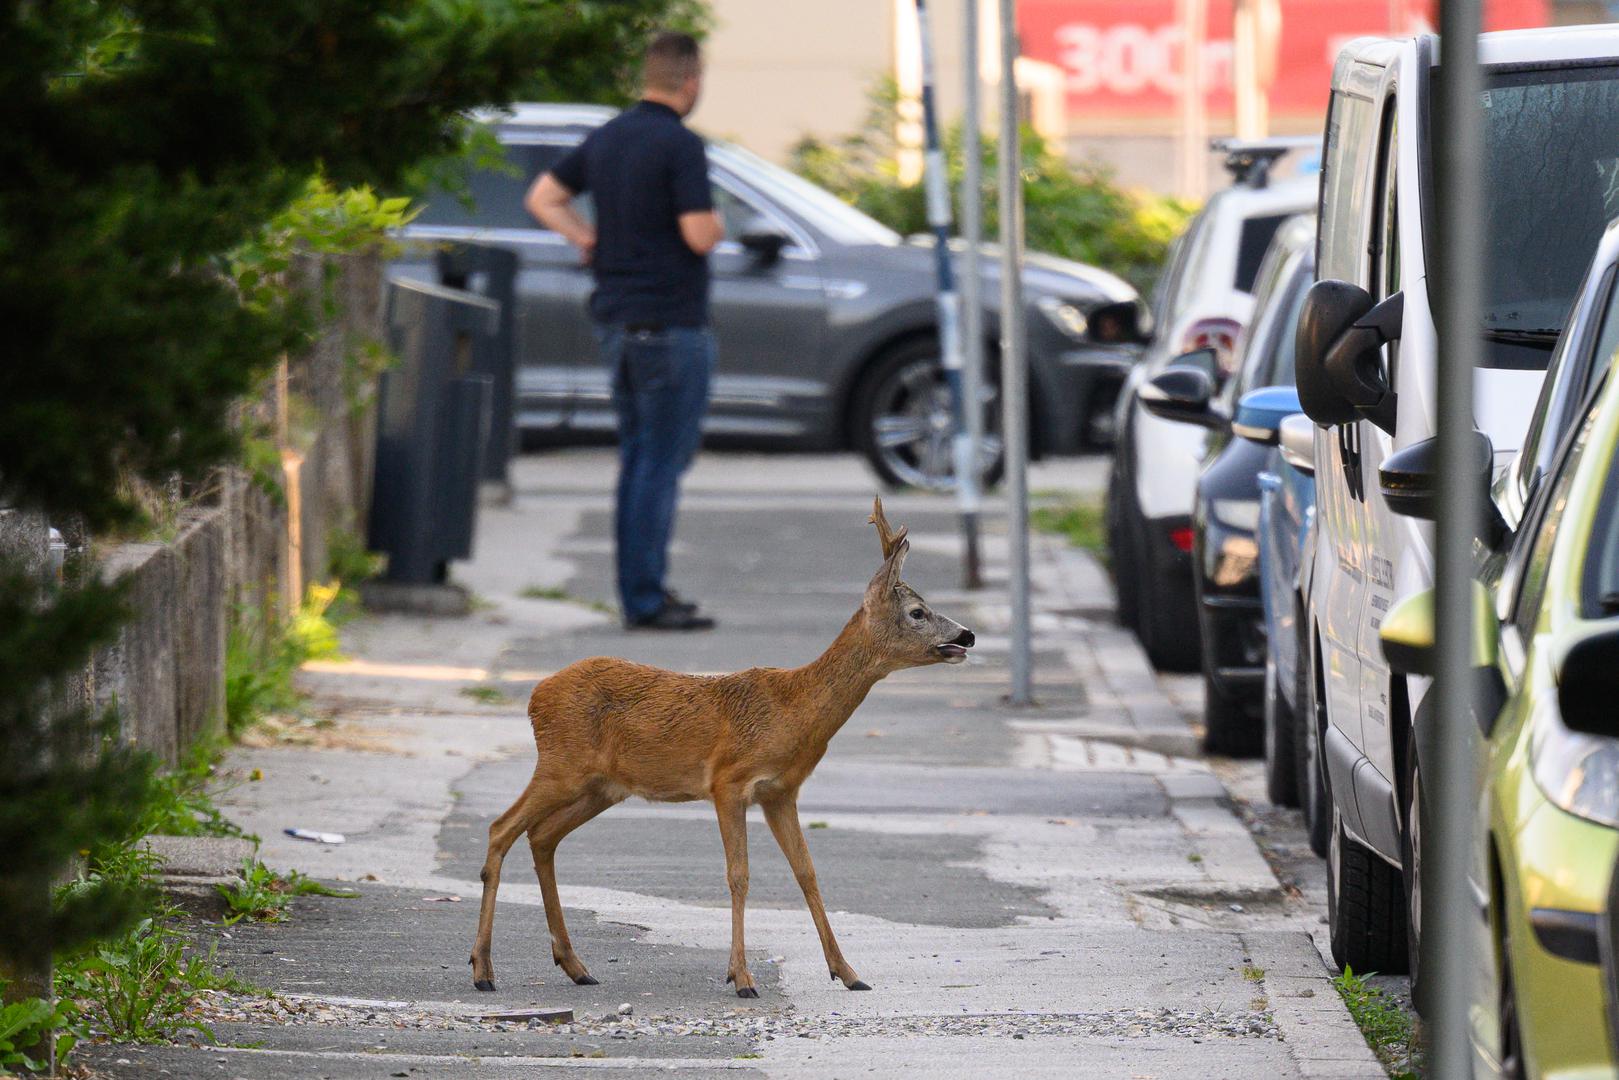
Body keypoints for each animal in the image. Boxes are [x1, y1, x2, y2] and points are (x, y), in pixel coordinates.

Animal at [469, 495, 971, 997]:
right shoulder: (729, 782)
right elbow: (738, 875)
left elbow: (807, 873)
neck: (794, 709)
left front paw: (847, 972)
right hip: (562, 764)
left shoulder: (781, 792)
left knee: (541, 836)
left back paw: (574, 965)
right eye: (918, 612)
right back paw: (483, 970)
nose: (966, 635)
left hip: (602, 787)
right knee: (501, 828)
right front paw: (742, 977)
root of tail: (536, 696)